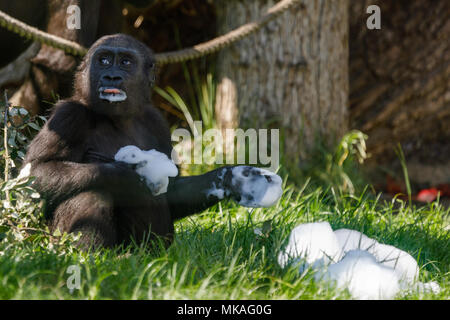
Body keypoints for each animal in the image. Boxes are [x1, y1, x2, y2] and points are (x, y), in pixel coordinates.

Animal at [23, 34, 282, 250]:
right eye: (103, 60)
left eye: (125, 62)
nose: (111, 76)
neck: (120, 118)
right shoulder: (68, 116)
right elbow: (35, 174)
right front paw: (126, 175)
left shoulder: (157, 122)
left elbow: (173, 190)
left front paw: (231, 178)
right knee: (91, 191)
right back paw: (90, 259)